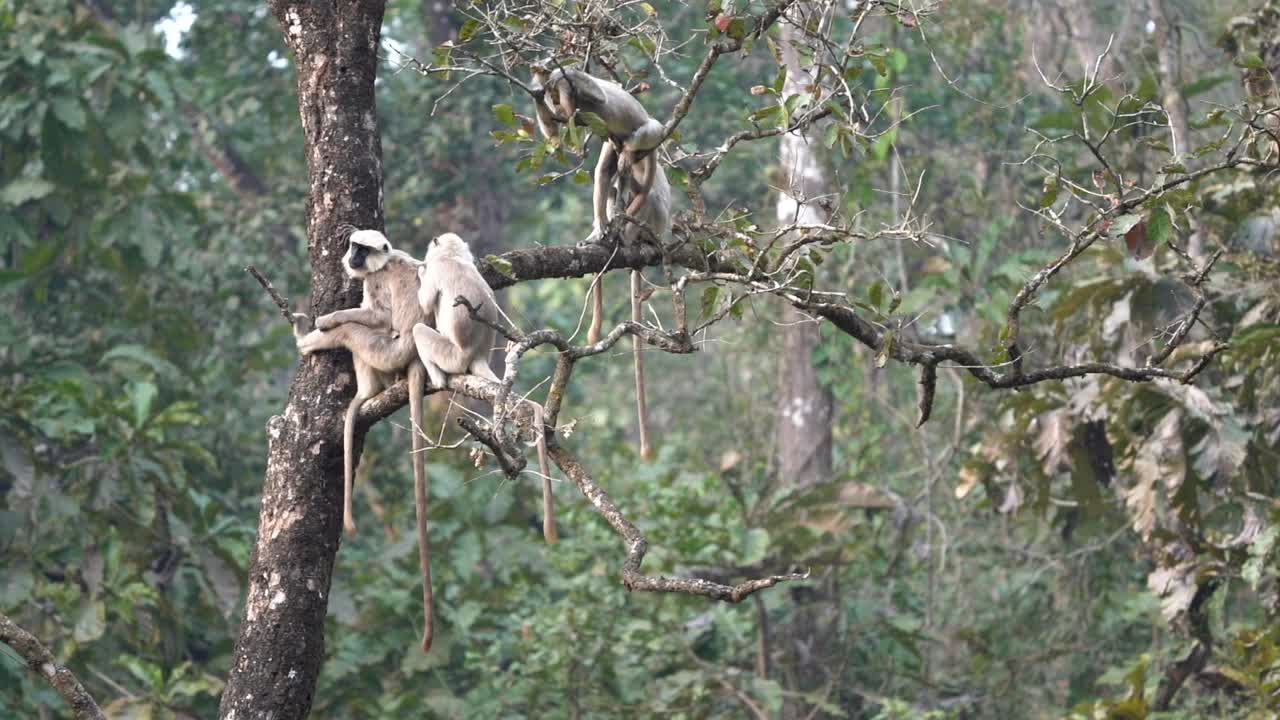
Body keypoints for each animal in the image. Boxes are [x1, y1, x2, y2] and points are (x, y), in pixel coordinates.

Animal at [292, 228, 437, 653]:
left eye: (363, 250)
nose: (353, 258)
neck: (388, 260)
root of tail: (413, 358)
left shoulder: (375, 282)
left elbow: (376, 315)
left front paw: (329, 319)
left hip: (387, 351)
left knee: (356, 334)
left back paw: (316, 345)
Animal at [411, 233, 558, 544]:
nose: (424, 258)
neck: (453, 258)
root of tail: (476, 355)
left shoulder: (439, 270)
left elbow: (427, 302)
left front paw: (420, 271)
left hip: (451, 355)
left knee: (420, 330)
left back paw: (437, 377)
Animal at [530, 65, 670, 461]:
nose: (553, 93)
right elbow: (560, 133)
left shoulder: (584, 90)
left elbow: (595, 98)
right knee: (606, 168)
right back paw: (603, 230)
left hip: (649, 138)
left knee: (639, 142)